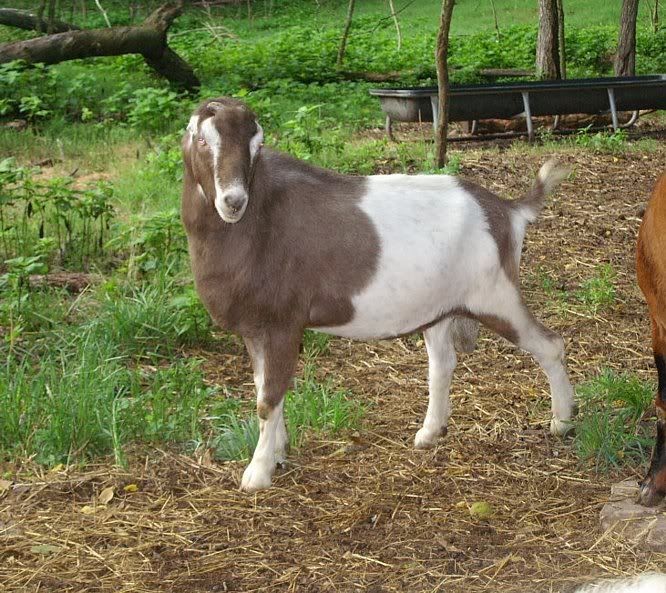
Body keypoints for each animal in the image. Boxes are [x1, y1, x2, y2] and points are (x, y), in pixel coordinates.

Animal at [181, 97, 575, 492]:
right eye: (202, 140)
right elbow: (264, 388)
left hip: (496, 296)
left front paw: (258, 472)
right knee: (442, 363)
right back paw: (430, 432)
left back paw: (562, 421)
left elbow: (268, 399)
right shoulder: (255, 328)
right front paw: (278, 452)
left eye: (257, 145)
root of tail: (507, 210)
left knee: (550, 344)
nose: (233, 201)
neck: (260, 220)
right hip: (440, 306)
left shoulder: (283, 324)